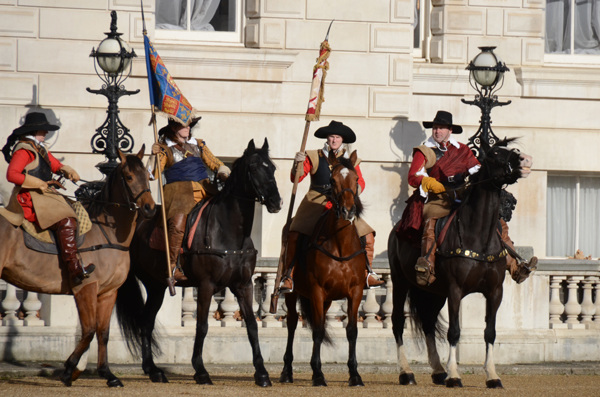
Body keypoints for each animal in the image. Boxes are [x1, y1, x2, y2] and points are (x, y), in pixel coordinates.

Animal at [0, 146, 157, 386]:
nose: (149, 208)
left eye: (148, 177)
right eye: (129, 177)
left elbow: (103, 332)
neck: (107, 233)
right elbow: (89, 331)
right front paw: (68, 369)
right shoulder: (86, 288)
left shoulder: (108, 292)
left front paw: (107, 374)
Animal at [116, 138, 282, 386]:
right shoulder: (206, 285)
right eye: (253, 167)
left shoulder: (244, 285)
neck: (229, 231)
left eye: (272, 167)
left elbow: (252, 326)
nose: (276, 201)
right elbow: (201, 326)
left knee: (146, 322)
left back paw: (152, 370)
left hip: (156, 286)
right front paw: (200, 370)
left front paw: (261, 373)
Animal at [278, 150, 368, 386]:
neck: (340, 244)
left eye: (356, 179)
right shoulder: (317, 291)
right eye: (332, 180)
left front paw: (355, 374)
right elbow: (318, 331)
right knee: (292, 323)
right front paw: (318, 374)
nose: (348, 211)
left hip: (327, 300)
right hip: (293, 293)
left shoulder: (355, 292)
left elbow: (352, 331)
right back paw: (287, 371)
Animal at [390, 139, 536, 386]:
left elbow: (490, 332)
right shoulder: (455, 290)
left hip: (433, 292)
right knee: (398, 322)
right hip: (400, 282)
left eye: (512, 150)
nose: (526, 159)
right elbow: (454, 332)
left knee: (428, 323)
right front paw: (454, 375)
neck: (478, 235)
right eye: (495, 153)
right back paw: (406, 372)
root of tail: (396, 230)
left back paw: (438, 371)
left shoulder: (494, 291)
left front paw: (492, 375)